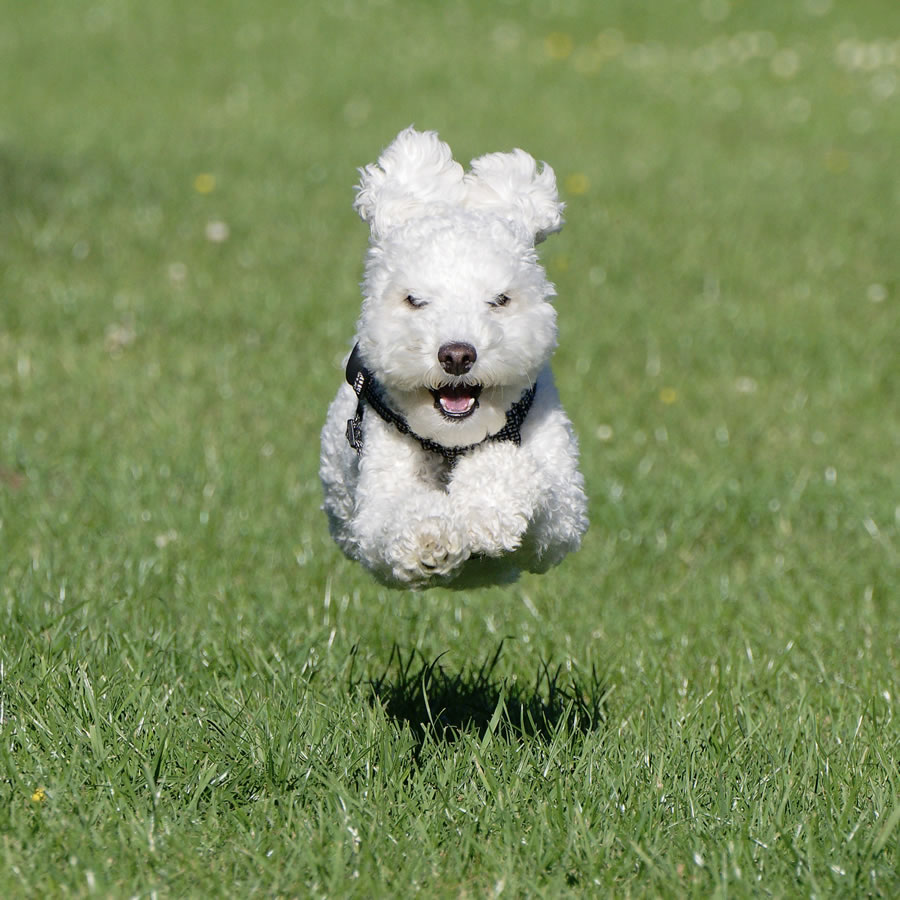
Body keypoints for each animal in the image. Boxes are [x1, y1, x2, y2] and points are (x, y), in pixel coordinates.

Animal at [320, 128, 588, 592]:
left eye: (499, 300)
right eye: (415, 300)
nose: (458, 355)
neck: (452, 443)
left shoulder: (564, 512)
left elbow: (518, 473)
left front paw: (486, 512)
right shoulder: (373, 509)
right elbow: (398, 515)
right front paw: (431, 540)